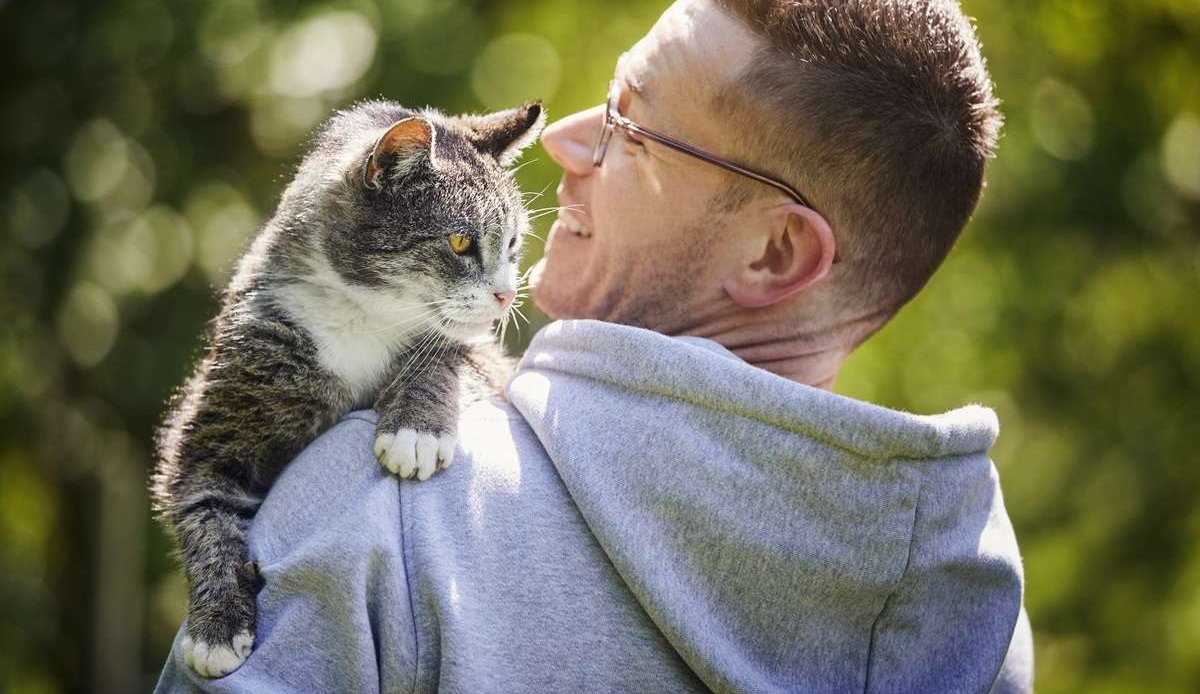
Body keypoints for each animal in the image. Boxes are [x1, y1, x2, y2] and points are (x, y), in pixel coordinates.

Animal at [152, 97, 547, 677]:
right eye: (460, 242)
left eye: (513, 243)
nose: (507, 293)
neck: (362, 317)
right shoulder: (215, 419)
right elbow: (203, 509)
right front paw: (216, 626)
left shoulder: (489, 361)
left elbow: (450, 354)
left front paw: (414, 430)